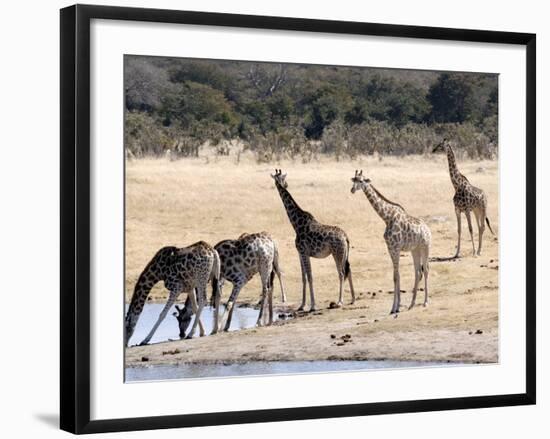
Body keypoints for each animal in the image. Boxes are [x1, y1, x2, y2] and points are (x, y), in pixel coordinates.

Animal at [272, 169, 358, 312]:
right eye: (282, 178)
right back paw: (352, 299)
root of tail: (346, 237)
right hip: (344, 254)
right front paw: (302, 305)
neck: (296, 223)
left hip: (337, 253)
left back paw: (340, 301)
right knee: (348, 270)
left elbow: (310, 276)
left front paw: (312, 305)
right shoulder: (300, 253)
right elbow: (304, 277)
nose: (285, 184)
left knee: (341, 273)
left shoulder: (304, 252)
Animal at [352, 170, 434, 314]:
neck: (386, 217)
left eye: (361, 181)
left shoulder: (395, 248)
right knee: (418, 271)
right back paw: (412, 304)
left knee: (426, 270)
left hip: (425, 247)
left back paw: (425, 302)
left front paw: (395, 307)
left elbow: (396, 276)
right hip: (415, 250)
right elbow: (396, 275)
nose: (352, 190)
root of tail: (428, 229)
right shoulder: (390, 248)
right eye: (354, 179)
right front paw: (395, 307)